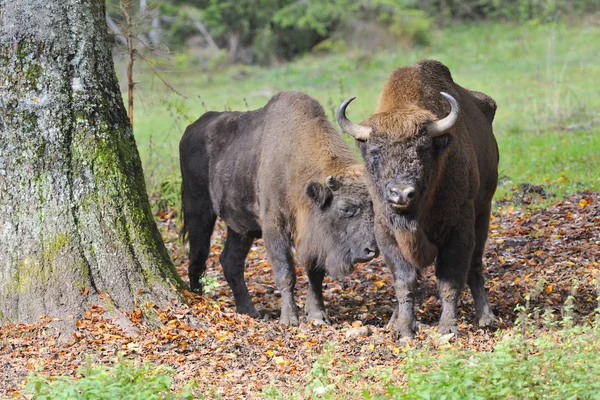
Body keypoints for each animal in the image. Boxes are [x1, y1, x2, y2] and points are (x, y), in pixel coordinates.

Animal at [178, 92, 378, 326]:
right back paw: (199, 299)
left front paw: (318, 315)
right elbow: (286, 273)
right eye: (345, 208)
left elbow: (315, 274)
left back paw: (249, 311)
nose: (371, 250)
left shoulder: (311, 235)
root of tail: (191, 130)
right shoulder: (274, 227)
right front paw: (289, 319)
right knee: (198, 257)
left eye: (374, 206)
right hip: (199, 211)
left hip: (240, 229)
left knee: (230, 262)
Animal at [336, 59, 500, 338]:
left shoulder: (459, 229)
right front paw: (404, 328)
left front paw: (447, 327)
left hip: (483, 210)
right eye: (375, 151)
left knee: (476, 265)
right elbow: (404, 282)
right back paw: (394, 320)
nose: (401, 193)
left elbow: (450, 280)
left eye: (423, 148)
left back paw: (486, 317)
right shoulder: (386, 233)